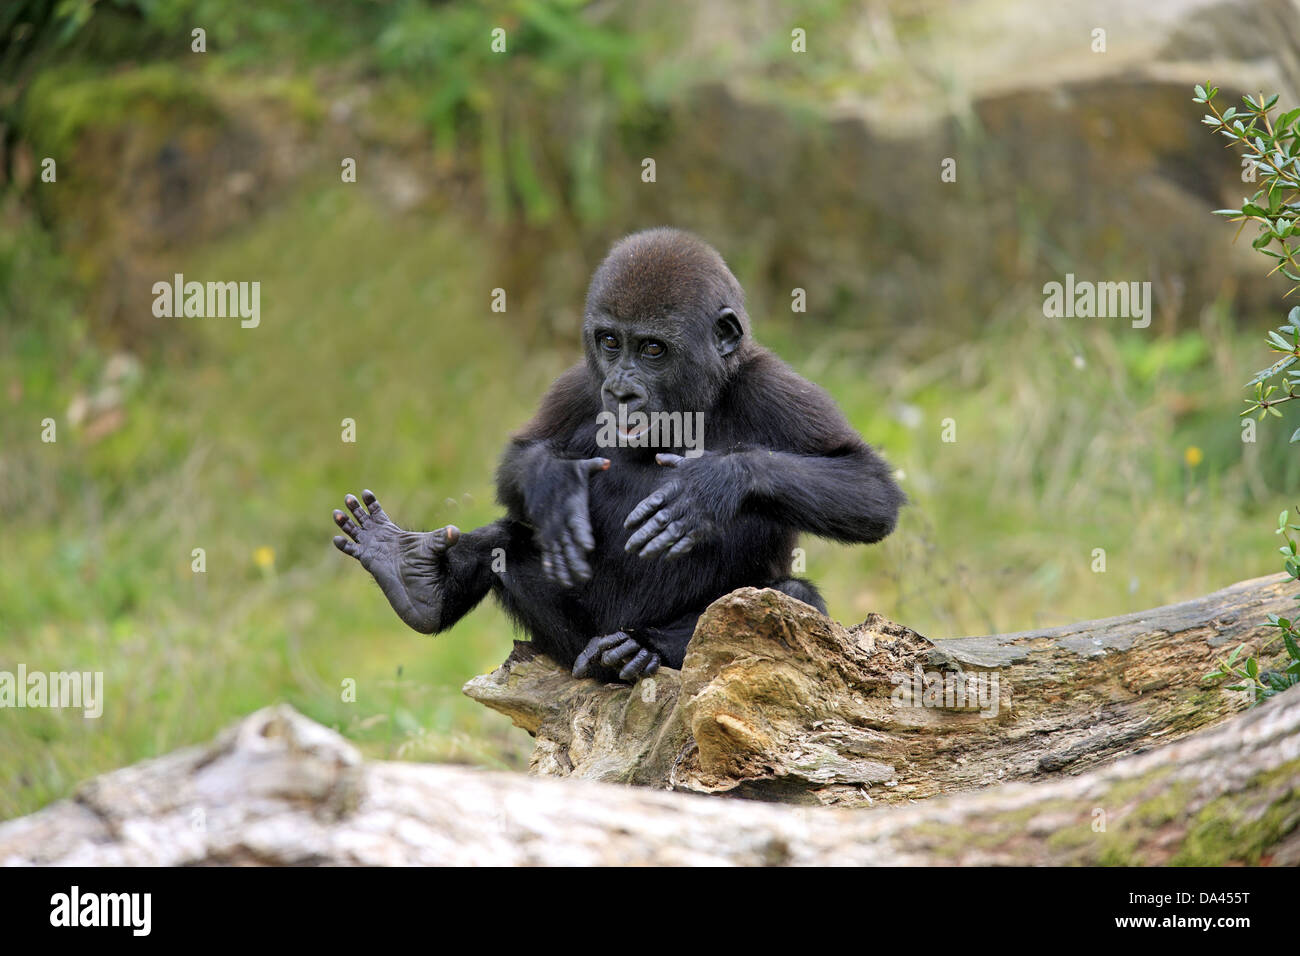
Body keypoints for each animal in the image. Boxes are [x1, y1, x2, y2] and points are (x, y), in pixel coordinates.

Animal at [335, 228, 904, 686]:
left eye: (652, 349)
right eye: (610, 342)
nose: (622, 391)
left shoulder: (776, 387)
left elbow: (869, 487)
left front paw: (712, 485)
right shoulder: (579, 384)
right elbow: (520, 459)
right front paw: (554, 484)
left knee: (788, 595)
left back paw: (648, 647)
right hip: (576, 646)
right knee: (508, 542)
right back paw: (417, 584)